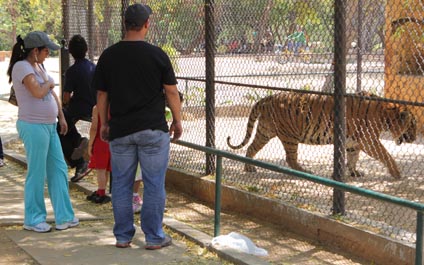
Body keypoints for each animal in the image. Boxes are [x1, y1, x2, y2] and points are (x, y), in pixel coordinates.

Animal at [227, 92, 416, 178]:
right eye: (413, 125)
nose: (415, 138)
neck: (385, 115)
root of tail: (269, 97)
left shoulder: (353, 142)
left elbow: (353, 158)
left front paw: (353, 172)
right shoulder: (369, 141)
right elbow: (386, 155)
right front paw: (397, 173)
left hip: (265, 131)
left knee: (251, 147)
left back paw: (249, 167)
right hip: (290, 136)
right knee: (290, 159)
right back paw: (305, 171)